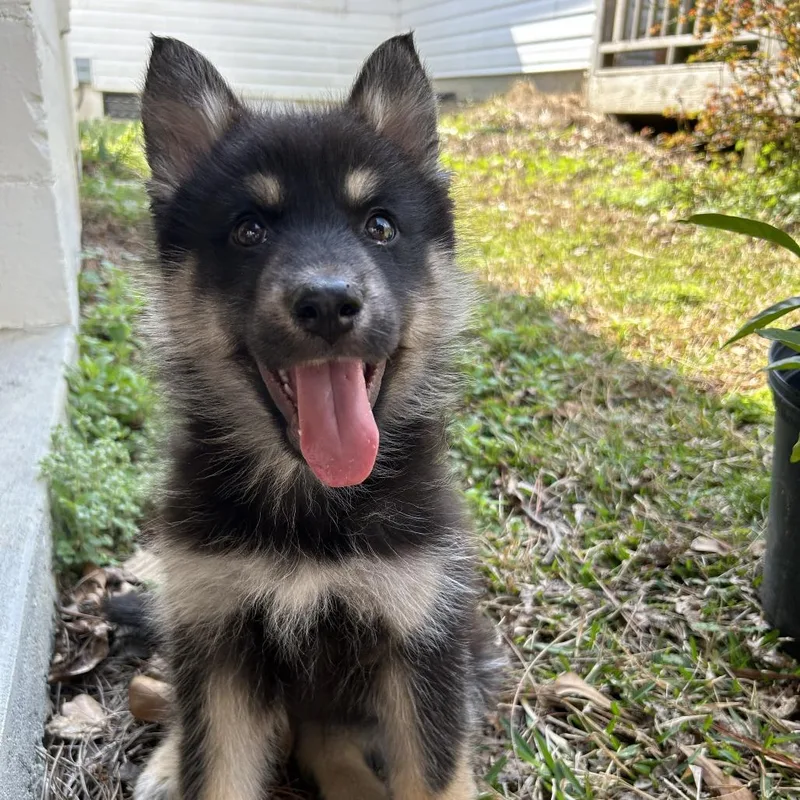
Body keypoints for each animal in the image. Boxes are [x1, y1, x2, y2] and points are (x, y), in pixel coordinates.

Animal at [131, 31, 499, 800]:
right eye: (248, 230)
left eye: (380, 226)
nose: (328, 302)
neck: (312, 509)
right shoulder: (216, 634)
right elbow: (215, 770)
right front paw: (181, 764)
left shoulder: (420, 634)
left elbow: (436, 771)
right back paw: (167, 761)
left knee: (329, 738)